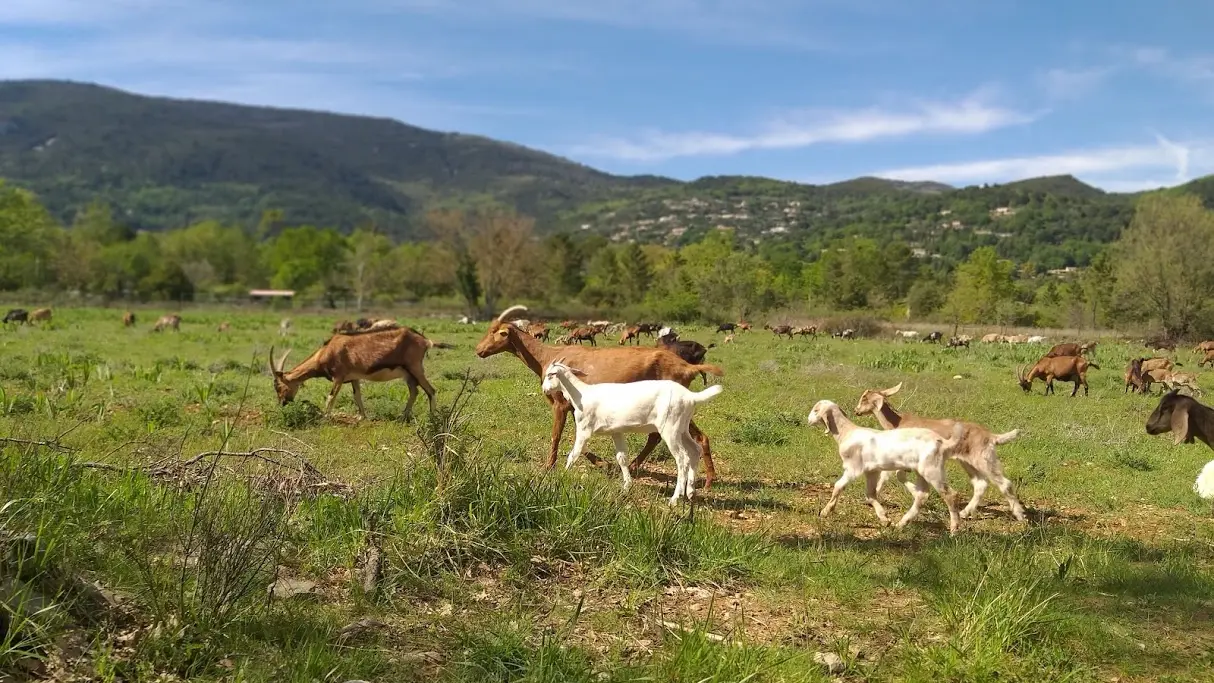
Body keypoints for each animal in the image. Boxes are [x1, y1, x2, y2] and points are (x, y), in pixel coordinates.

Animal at [268, 327, 454, 422]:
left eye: (278, 386)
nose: (282, 403)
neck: (328, 350)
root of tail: (425, 341)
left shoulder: (339, 377)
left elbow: (331, 397)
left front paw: (324, 418)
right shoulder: (354, 378)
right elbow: (357, 396)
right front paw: (362, 417)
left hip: (415, 368)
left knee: (430, 390)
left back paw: (432, 419)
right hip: (408, 374)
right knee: (414, 391)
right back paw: (402, 417)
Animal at [541, 356, 718, 504]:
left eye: (551, 374)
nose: (544, 390)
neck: (581, 395)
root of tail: (691, 397)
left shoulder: (584, 429)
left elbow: (574, 453)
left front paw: (562, 476)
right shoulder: (616, 431)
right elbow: (621, 458)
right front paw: (626, 484)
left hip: (670, 428)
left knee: (682, 458)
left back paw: (675, 498)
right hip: (682, 427)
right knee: (694, 450)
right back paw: (690, 492)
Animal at [806, 400, 966, 533]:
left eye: (816, 410)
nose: (808, 420)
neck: (846, 433)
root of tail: (943, 443)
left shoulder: (853, 468)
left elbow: (838, 486)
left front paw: (826, 511)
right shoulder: (872, 471)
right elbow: (870, 494)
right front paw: (885, 519)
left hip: (932, 469)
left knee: (950, 495)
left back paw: (954, 529)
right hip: (922, 471)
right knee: (922, 495)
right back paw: (902, 523)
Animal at [854, 383, 1024, 521]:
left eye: (864, 398)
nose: (856, 411)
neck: (897, 423)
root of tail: (991, 436)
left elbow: (896, 475)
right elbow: (889, 475)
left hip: (984, 459)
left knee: (1004, 483)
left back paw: (1020, 515)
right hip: (968, 461)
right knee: (980, 484)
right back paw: (964, 513)